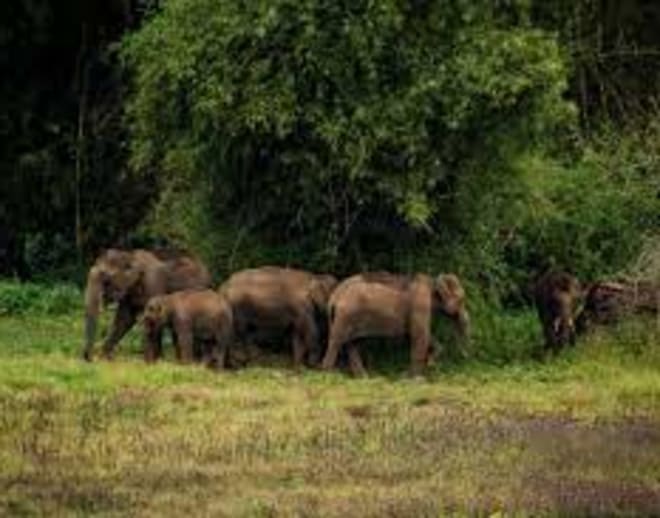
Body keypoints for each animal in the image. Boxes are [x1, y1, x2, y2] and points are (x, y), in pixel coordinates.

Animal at [82, 250, 211, 364]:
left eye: (106, 280)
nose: (89, 359)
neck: (130, 255)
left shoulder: (154, 285)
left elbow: (153, 321)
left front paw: (154, 362)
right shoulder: (128, 294)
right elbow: (124, 320)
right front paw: (105, 358)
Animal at [320, 272, 470, 378]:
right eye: (462, 300)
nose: (464, 356)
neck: (432, 282)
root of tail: (334, 296)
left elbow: (422, 335)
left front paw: (429, 364)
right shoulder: (420, 305)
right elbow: (420, 336)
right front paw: (415, 378)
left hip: (349, 317)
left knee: (353, 343)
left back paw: (364, 378)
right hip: (346, 315)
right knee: (336, 342)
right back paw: (328, 374)